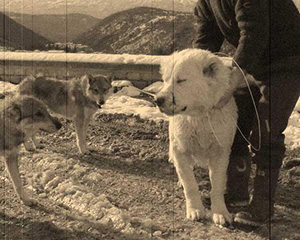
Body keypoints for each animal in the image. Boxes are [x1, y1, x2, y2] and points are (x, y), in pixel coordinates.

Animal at [155, 49, 248, 227]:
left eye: (181, 80)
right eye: (165, 80)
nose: (157, 100)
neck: (199, 117)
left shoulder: (221, 152)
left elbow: (217, 184)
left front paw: (220, 212)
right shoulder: (180, 150)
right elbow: (190, 184)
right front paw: (195, 209)